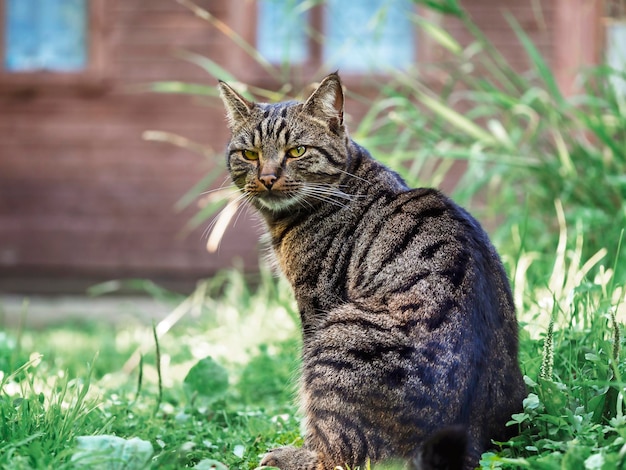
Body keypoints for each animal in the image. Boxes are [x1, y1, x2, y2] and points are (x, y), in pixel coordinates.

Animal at [217, 73, 524, 470]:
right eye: (250, 154)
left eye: (297, 151)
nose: (267, 177)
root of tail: (466, 441)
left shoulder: (315, 304)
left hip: (334, 337)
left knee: (340, 455)